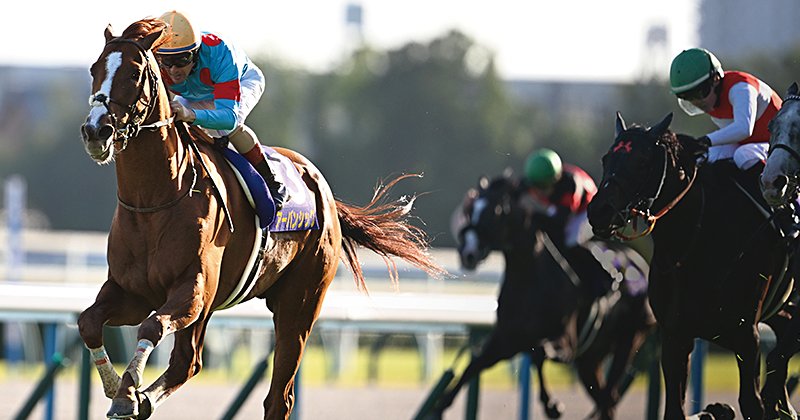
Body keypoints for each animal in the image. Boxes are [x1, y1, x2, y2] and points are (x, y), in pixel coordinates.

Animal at [76, 18, 445, 420]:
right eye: (94, 70)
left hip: (299, 304)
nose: (96, 130)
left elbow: (153, 325)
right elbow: (88, 322)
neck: (155, 200)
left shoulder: (193, 291)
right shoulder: (131, 291)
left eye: (134, 72)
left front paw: (128, 391)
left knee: (276, 395)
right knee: (188, 363)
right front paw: (118, 386)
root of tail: (325, 193)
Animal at [430, 173, 656, 420]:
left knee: (609, 396)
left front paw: (552, 405)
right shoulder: (506, 339)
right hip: (590, 359)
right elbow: (473, 365)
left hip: (631, 337)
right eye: (471, 209)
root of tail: (641, 266)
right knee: (606, 400)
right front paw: (439, 407)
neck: (529, 281)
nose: (468, 253)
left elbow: (537, 353)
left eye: (497, 210)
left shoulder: (566, 343)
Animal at [587, 112, 797, 419]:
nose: (599, 211)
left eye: (642, 161)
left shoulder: (747, 337)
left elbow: (751, 402)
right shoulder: (675, 336)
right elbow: (674, 409)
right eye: (606, 159)